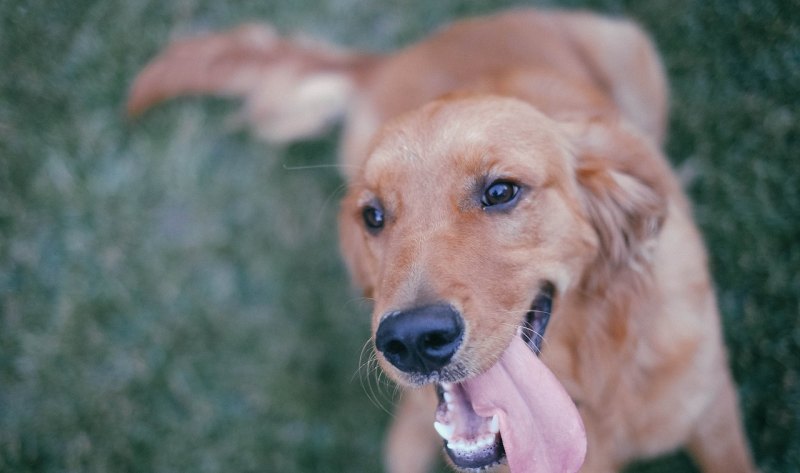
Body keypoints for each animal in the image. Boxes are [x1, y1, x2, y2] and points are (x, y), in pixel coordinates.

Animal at [130, 7, 756, 472]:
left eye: (501, 191)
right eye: (373, 215)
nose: (411, 340)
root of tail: (389, 57)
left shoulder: (714, 411)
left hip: (631, 51)